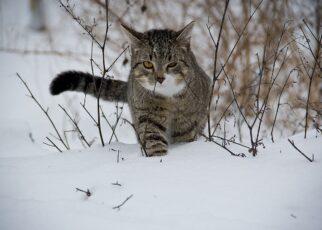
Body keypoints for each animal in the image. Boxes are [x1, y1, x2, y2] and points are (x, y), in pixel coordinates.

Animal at [49, 21, 211, 156]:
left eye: (172, 64)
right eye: (147, 64)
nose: (159, 78)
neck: (168, 97)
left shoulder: (186, 121)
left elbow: (184, 137)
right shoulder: (147, 114)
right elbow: (153, 139)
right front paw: (158, 158)